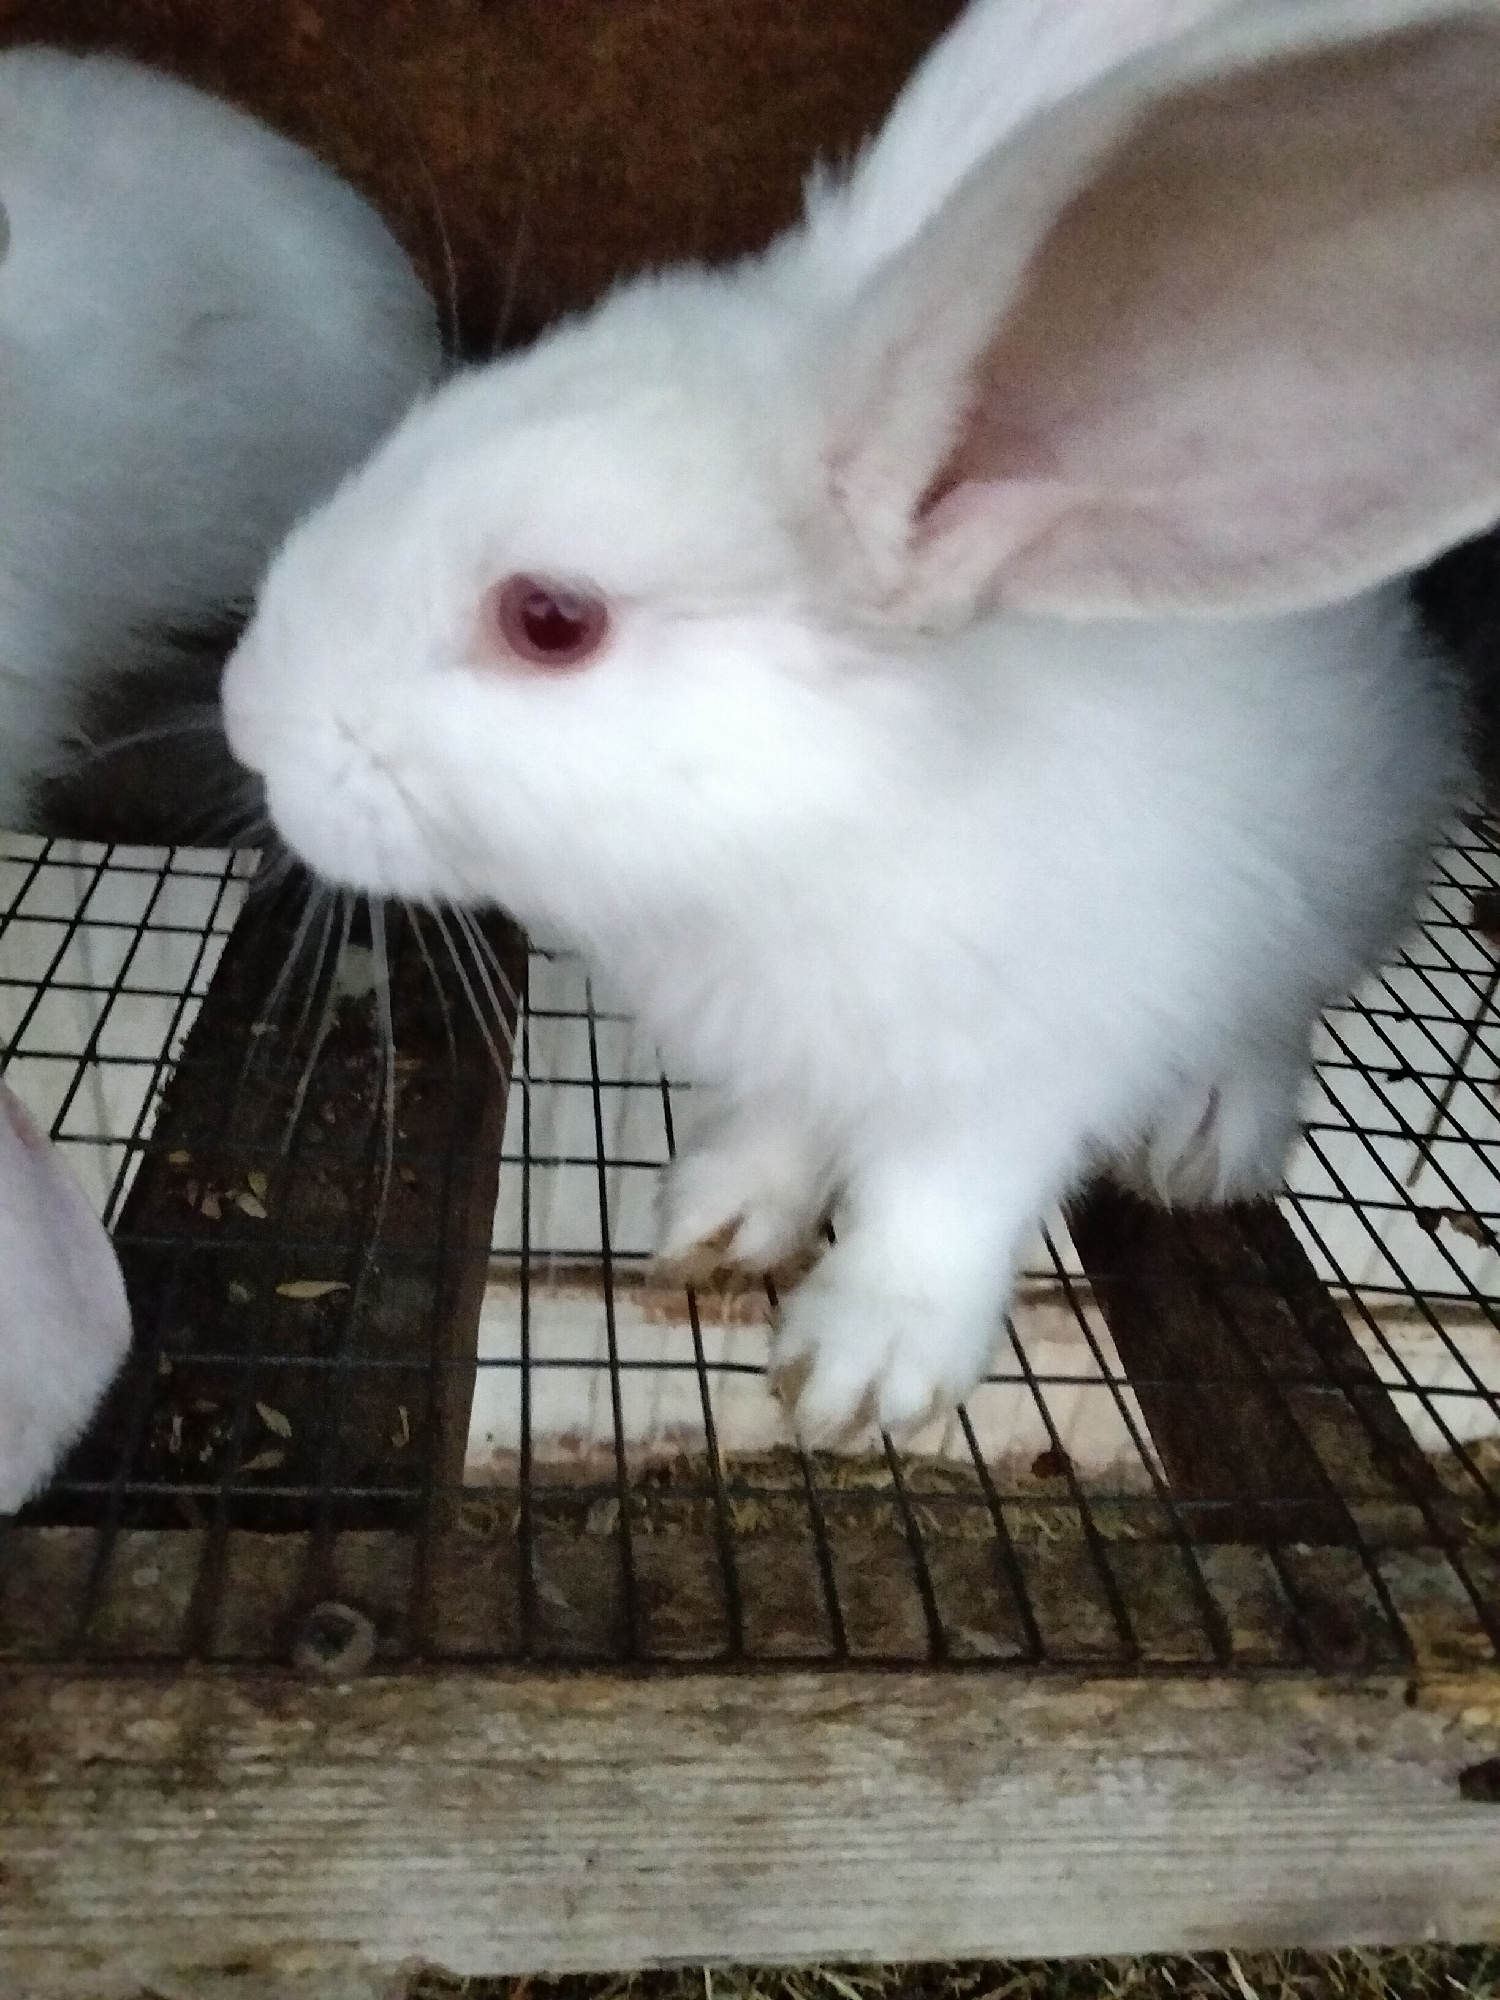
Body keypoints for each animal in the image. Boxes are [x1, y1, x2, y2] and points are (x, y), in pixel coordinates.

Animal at [221, 0, 1500, 1444]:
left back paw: (1209, 1130)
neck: (800, 845)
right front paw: (717, 1217)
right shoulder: (785, 1054)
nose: (246, 715)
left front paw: (862, 1373)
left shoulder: (1020, 1071)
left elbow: (941, 1210)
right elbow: (778, 1134)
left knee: (1278, 1006)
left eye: (550, 619)